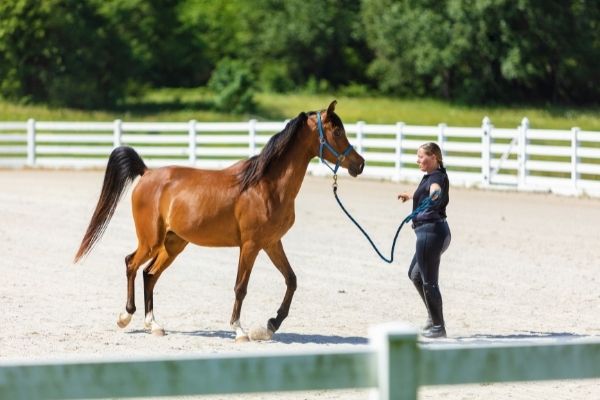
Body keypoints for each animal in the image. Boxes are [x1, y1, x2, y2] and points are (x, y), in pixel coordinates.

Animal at [75, 101, 366, 342]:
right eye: (337, 132)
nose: (360, 164)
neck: (266, 186)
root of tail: (146, 173)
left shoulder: (271, 243)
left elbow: (291, 280)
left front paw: (271, 325)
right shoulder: (250, 245)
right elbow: (241, 287)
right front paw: (239, 330)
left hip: (173, 244)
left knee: (149, 274)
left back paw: (154, 325)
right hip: (151, 240)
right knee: (131, 264)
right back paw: (125, 317)